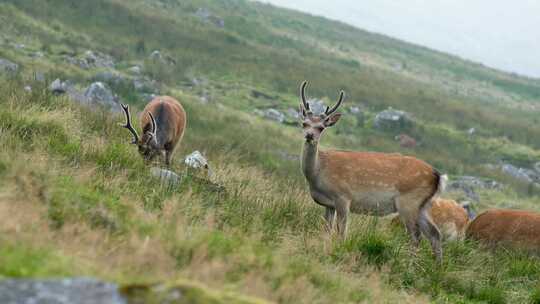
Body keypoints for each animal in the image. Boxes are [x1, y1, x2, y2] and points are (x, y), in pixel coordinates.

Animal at [298, 81, 446, 262]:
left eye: (321, 127)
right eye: (304, 123)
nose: (309, 136)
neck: (318, 173)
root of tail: (437, 176)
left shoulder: (343, 197)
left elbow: (342, 232)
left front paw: (339, 250)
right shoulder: (329, 204)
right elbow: (327, 230)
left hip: (409, 201)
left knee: (416, 236)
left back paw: (410, 264)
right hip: (424, 205)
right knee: (435, 234)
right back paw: (436, 266)